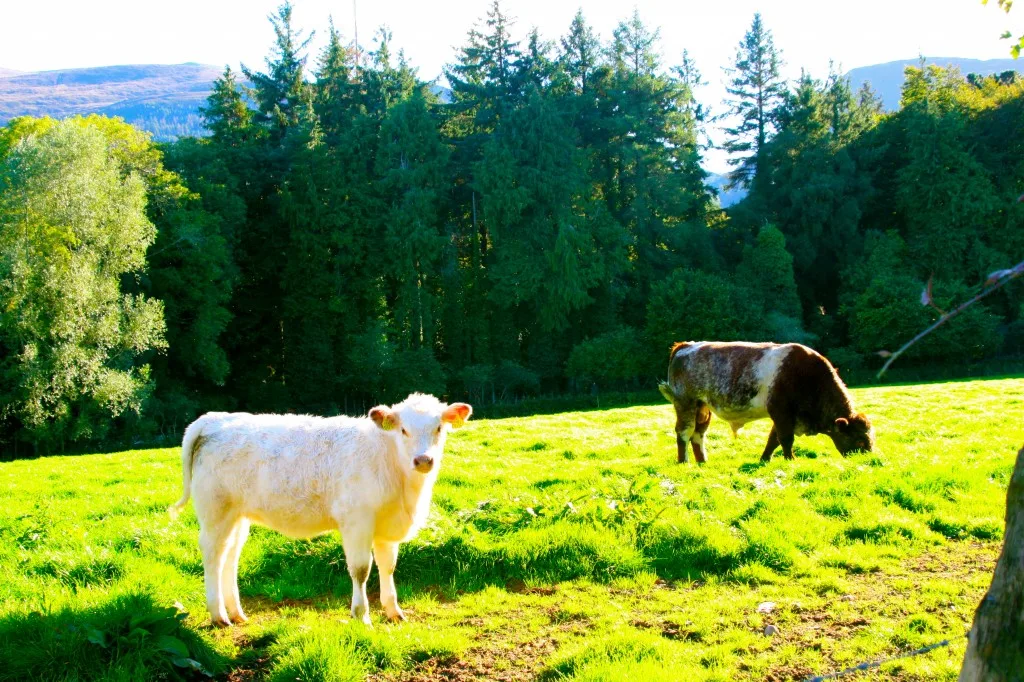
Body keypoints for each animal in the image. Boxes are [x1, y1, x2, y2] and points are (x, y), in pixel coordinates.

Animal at [167, 393, 471, 622]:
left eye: (439, 428)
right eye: (403, 430)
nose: (423, 460)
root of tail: (214, 419)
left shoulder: (387, 525)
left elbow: (388, 566)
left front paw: (393, 611)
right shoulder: (357, 521)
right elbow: (361, 569)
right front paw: (361, 616)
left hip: (238, 515)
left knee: (230, 556)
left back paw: (236, 612)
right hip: (215, 511)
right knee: (213, 555)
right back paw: (218, 615)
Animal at [659, 339, 876, 462]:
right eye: (859, 440)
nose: (869, 460)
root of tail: (685, 346)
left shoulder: (784, 415)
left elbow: (774, 439)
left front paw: (765, 459)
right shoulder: (781, 411)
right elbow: (785, 439)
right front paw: (791, 460)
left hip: (703, 407)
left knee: (698, 433)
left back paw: (702, 462)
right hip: (685, 402)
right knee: (684, 432)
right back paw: (684, 462)